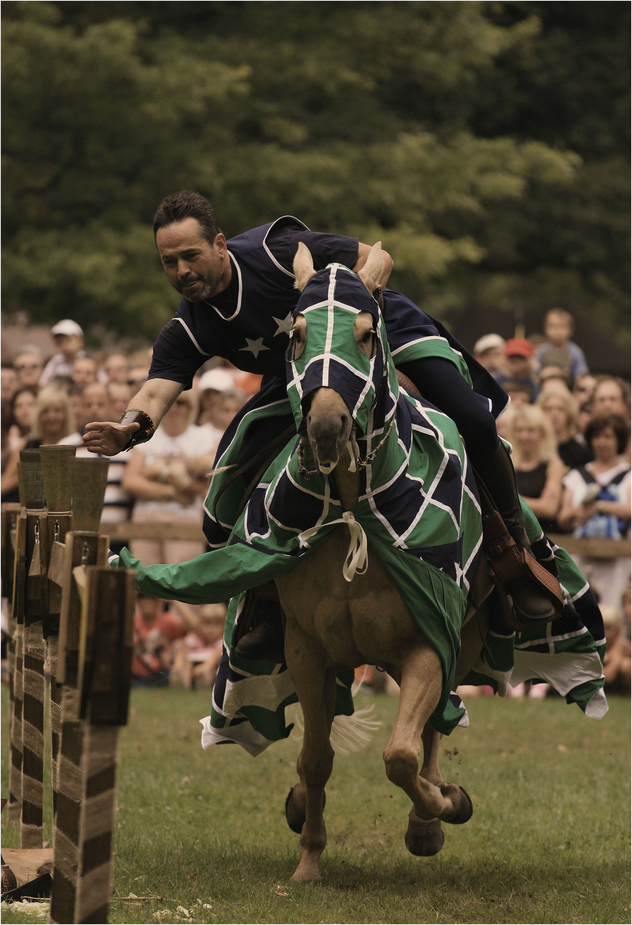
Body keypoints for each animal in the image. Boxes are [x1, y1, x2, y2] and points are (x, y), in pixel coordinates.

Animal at [274, 244, 486, 880]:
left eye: (367, 336)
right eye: (297, 335)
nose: (326, 426)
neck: (353, 512)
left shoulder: (430, 642)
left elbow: (400, 755)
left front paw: (440, 808)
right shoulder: (306, 649)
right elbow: (316, 757)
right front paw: (309, 860)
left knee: (433, 728)